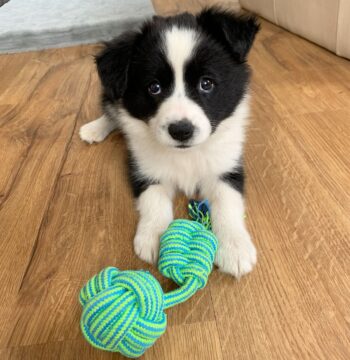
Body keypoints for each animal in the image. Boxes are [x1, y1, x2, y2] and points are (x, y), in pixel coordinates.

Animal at [79, 7, 260, 278]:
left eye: (206, 83)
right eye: (154, 87)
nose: (181, 130)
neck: (186, 154)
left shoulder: (227, 165)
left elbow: (227, 201)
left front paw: (235, 248)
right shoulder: (143, 166)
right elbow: (154, 200)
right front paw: (153, 237)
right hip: (112, 91)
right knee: (112, 110)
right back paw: (95, 128)